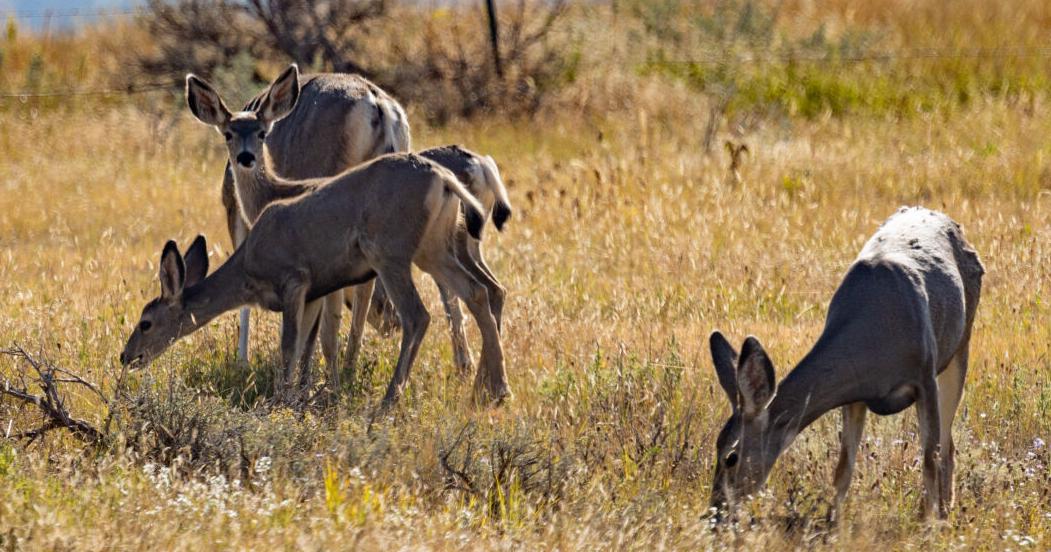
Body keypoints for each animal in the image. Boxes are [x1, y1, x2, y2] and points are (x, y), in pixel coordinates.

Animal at [119, 152, 512, 408]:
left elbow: (289, 346)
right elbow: (304, 349)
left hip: (390, 251)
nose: (126, 356)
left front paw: (280, 401)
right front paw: (298, 396)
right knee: (479, 292)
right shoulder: (313, 292)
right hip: (434, 248)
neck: (249, 270)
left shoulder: (294, 279)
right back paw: (495, 390)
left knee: (419, 315)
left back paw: (389, 400)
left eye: (146, 322)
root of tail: (445, 180)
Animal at [707, 206, 983, 522]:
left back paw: (944, 512)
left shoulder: (924, 377)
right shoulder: (855, 394)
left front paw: (929, 522)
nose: (716, 512)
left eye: (731, 457)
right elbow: (844, 467)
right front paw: (832, 521)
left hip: (961, 344)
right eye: (716, 445)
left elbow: (928, 459)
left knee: (946, 445)